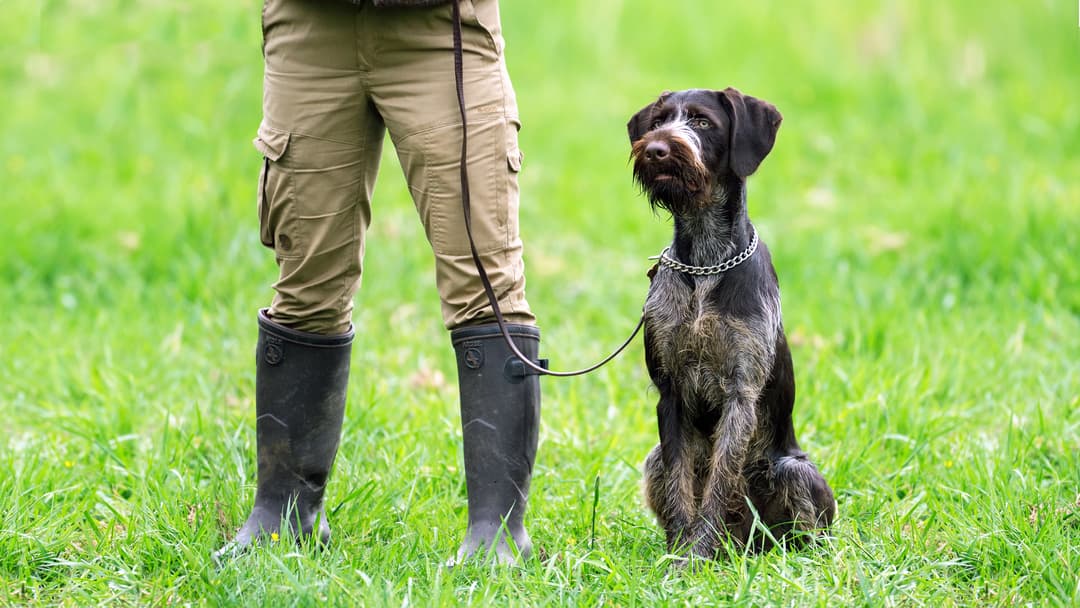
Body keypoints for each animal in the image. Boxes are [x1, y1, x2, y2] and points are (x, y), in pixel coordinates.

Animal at [630, 88, 833, 557]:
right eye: (658, 121)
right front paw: (680, 552)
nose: (656, 148)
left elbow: (720, 483)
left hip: (797, 471)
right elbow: (681, 485)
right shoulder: (670, 391)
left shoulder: (741, 391)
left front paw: (697, 554)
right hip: (652, 459)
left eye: (703, 122)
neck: (706, 263)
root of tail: (745, 544)